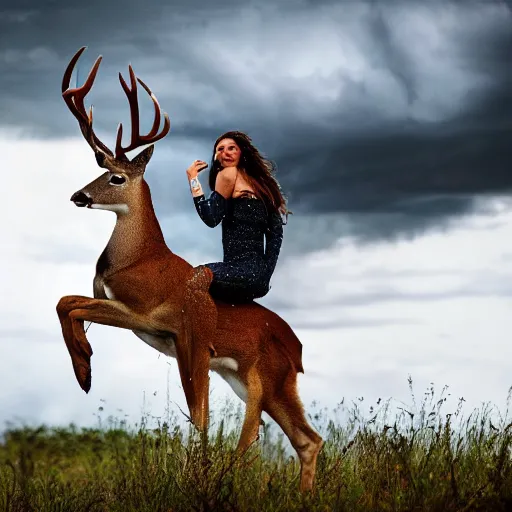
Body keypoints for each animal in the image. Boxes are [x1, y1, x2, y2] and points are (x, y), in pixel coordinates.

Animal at [57, 48, 324, 492]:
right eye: (98, 169)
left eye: (116, 177)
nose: (79, 195)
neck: (138, 258)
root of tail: (298, 348)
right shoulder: (119, 308)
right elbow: (66, 301)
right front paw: (85, 367)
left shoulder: (143, 313)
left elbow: (67, 303)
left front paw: (84, 369)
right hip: (259, 380)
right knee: (307, 439)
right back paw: (302, 496)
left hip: (255, 372)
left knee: (261, 430)